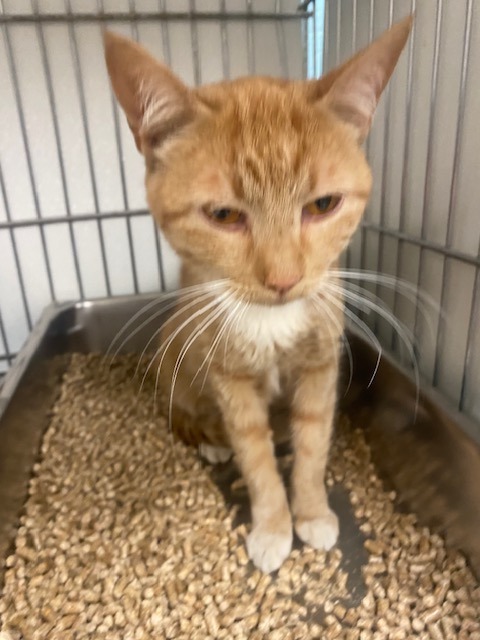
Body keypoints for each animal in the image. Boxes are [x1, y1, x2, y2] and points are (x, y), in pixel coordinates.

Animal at [105, 17, 412, 572]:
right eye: (224, 215)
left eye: (324, 205)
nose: (284, 279)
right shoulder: (231, 380)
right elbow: (256, 457)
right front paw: (272, 527)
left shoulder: (319, 366)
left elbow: (312, 447)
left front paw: (310, 511)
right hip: (178, 357)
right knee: (186, 407)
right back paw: (210, 439)